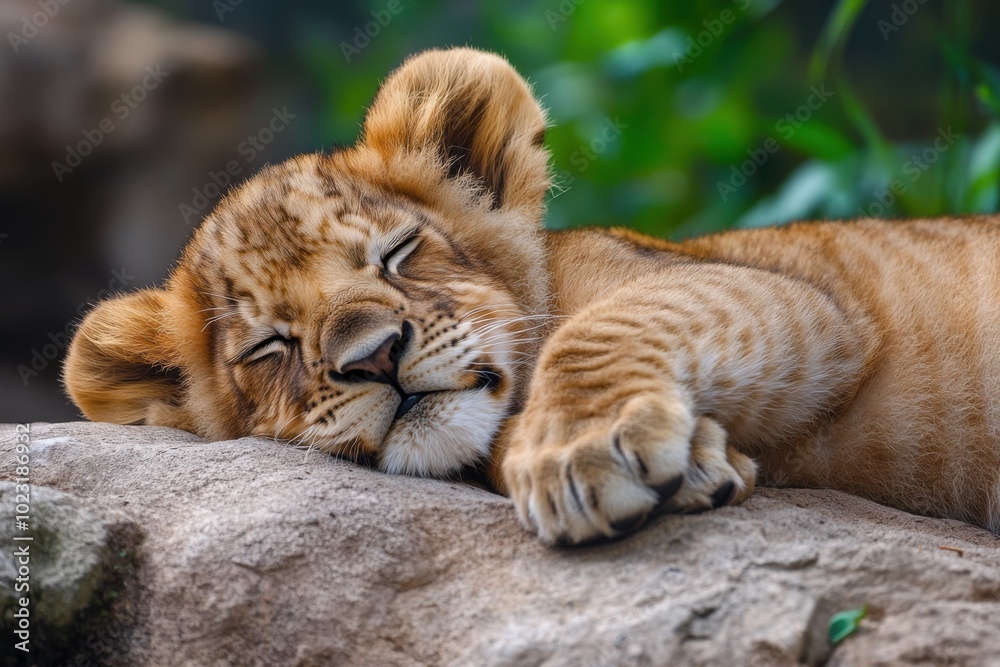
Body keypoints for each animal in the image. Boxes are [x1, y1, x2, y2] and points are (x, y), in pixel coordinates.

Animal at [64, 47, 1000, 545]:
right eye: (271, 345)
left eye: (397, 255)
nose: (375, 357)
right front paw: (690, 467)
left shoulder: (807, 301)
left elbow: (598, 329)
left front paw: (584, 451)